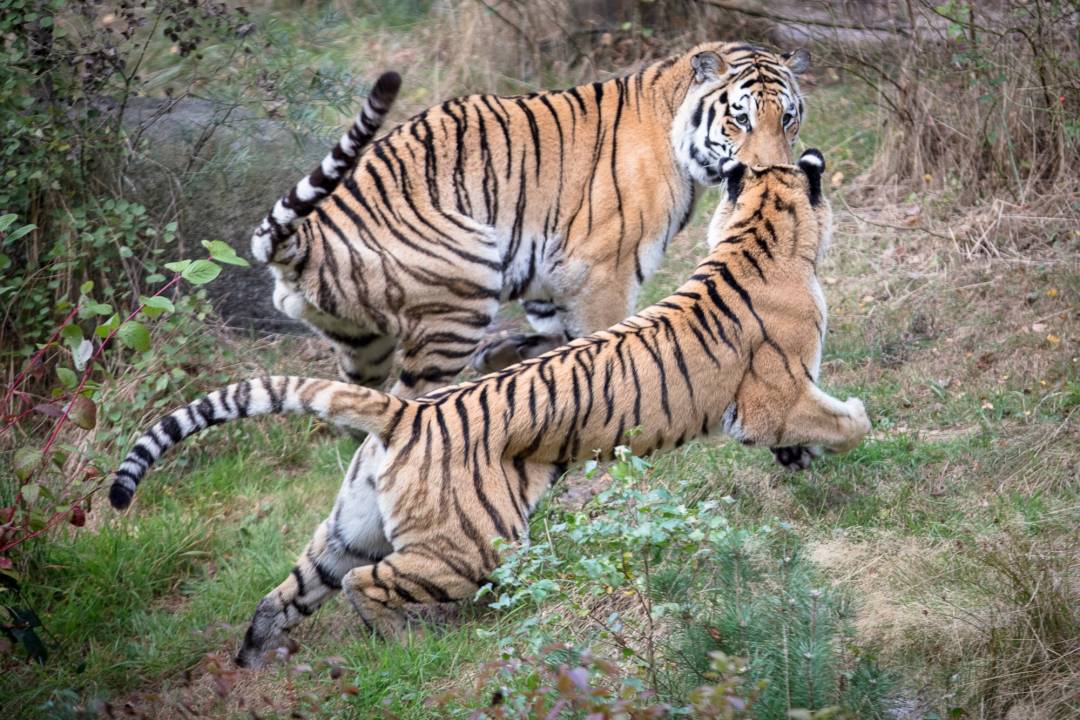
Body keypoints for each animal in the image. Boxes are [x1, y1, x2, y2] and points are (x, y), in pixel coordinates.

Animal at [111, 147, 868, 669]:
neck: (757, 230)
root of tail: (405, 414)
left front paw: (801, 463)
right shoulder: (774, 395)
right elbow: (841, 419)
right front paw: (849, 432)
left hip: (350, 527)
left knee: (288, 592)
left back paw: (252, 659)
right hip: (470, 546)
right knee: (367, 583)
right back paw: (403, 641)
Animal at [254, 43, 812, 399]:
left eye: (787, 117)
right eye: (739, 118)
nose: (768, 171)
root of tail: (305, 236)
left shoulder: (551, 275)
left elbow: (560, 343)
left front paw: (508, 358)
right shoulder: (601, 273)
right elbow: (608, 349)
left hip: (363, 344)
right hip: (465, 284)